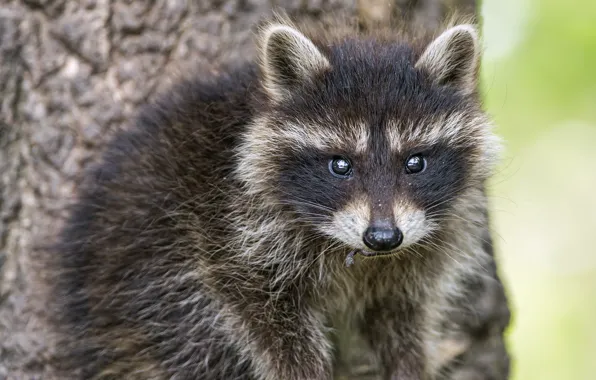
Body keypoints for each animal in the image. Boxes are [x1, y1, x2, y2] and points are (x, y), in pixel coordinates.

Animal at [52, 13, 512, 380]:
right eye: (340, 165)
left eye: (415, 162)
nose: (383, 238)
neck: (357, 254)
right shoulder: (229, 229)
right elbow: (265, 316)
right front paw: (305, 370)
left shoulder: (418, 256)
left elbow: (402, 319)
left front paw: (409, 366)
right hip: (148, 278)